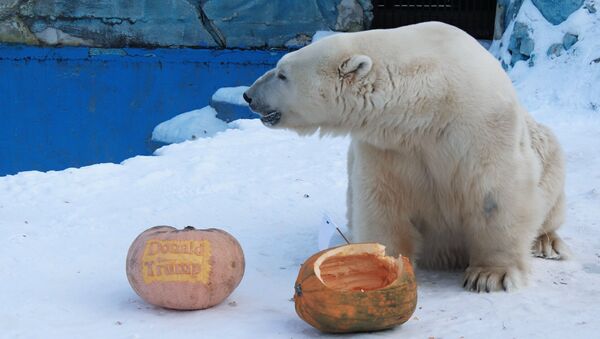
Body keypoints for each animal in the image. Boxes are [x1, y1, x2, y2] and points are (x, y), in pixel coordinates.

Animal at [243, 21, 568, 292]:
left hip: (545, 150)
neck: (429, 106)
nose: (248, 95)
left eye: (282, 74)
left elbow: (496, 194)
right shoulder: (389, 147)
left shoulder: (482, 127)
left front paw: (490, 275)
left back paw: (547, 242)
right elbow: (382, 205)